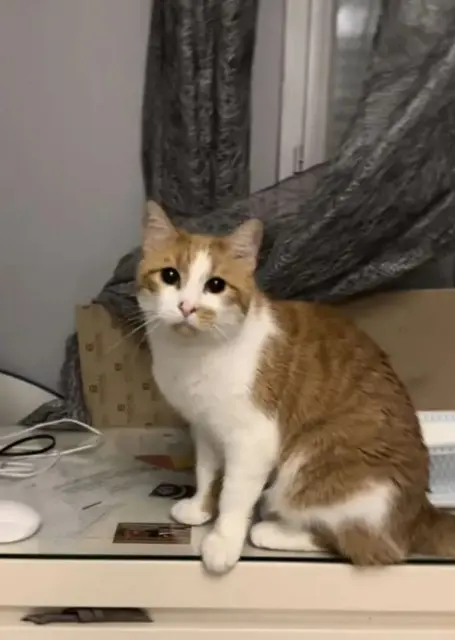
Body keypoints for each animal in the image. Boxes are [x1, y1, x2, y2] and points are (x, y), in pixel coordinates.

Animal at [137, 200, 455, 574]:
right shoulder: (204, 427)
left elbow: (233, 494)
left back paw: (271, 530)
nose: (187, 307)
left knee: (365, 545)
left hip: (312, 463)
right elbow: (207, 472)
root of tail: (419, 513)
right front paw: (200, 508)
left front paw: (223, 540)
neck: (193, 357)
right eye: (170, 276)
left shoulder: (253, 438)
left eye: (215, 285)